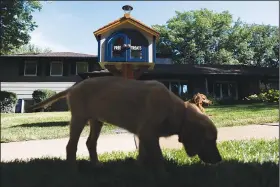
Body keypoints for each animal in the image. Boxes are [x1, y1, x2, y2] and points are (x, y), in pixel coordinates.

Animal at [27, 75, 221, 174]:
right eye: (209, 140)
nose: (220, 160)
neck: (176, 111)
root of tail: (73, 87)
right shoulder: (149, 134)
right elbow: (158, 158)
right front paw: (163, 175)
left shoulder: (144, 136)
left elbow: (142, 155)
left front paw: (139, 169)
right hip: (79, 118)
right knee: (71, 146)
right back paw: (73, 170)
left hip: (96, 121)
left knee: (90, 143)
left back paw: (96, 165)